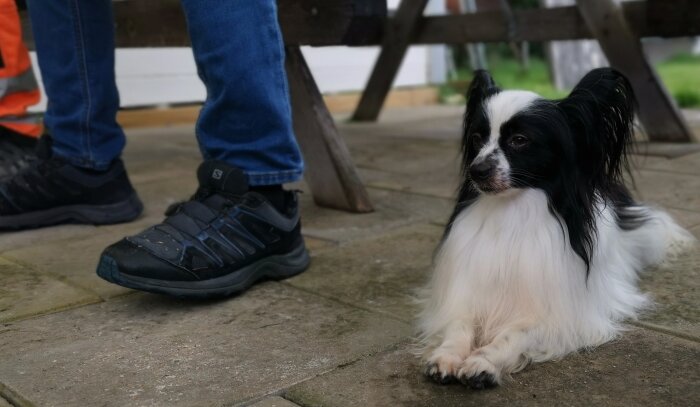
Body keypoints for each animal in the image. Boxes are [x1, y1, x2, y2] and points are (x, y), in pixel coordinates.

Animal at [418, 69, 692, 388]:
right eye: (476, 138)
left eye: (520, 140)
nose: (476, 170)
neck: (512, 211)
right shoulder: (463, 297)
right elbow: (458, 325)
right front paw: (446, 355)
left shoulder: (562, 317)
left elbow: (516, 333)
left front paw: (484, 362)